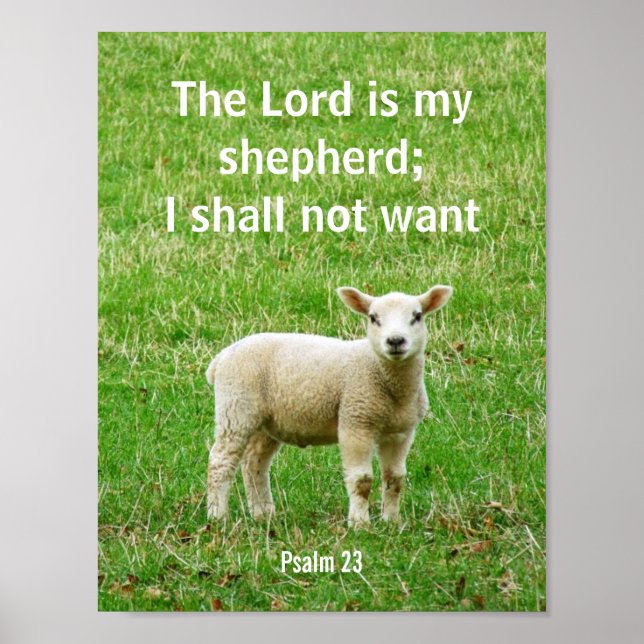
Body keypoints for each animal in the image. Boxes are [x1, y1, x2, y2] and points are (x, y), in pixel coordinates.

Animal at [205, 284, 453, 527]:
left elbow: (395, 478)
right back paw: (217, 516)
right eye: (373, 318)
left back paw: (263, 514)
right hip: (236, 407)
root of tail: (221, 358)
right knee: (220, 461)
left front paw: (392, 522)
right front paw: (360, 524)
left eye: (417, 316)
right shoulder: (356, 422)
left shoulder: (402, 432)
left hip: (267, 421)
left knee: (254, 462)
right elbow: (362, 480)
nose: (395, 341)